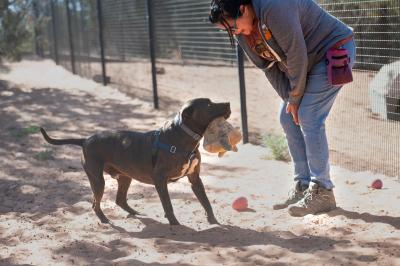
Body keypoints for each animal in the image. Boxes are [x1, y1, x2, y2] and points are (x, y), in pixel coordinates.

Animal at [39, 98, 231, 225]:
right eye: (209, 105)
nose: (229, 103)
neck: (182, 138)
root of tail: (85, 139)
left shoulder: (195, 179)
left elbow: (205, 201)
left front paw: (214, 221)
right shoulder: (160, 180)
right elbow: (168, 205)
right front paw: (175, 223)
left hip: (125, 177)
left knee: (119, 200)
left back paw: (134, 212)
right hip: (97, 179)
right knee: (95, 203)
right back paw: (105, 220)